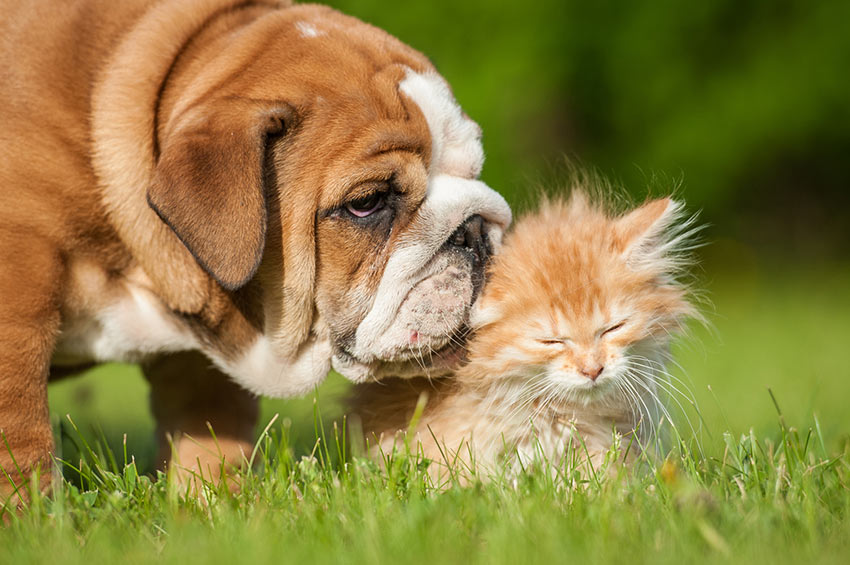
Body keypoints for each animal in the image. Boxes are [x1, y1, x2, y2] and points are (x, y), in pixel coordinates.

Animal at [0, 0, 510, 496]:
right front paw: (28, 512)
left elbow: (209, 426)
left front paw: (213, 502)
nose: (473, 232)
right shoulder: (16, 295)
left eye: (475, 170)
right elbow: (18, 429)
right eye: (367, 203)